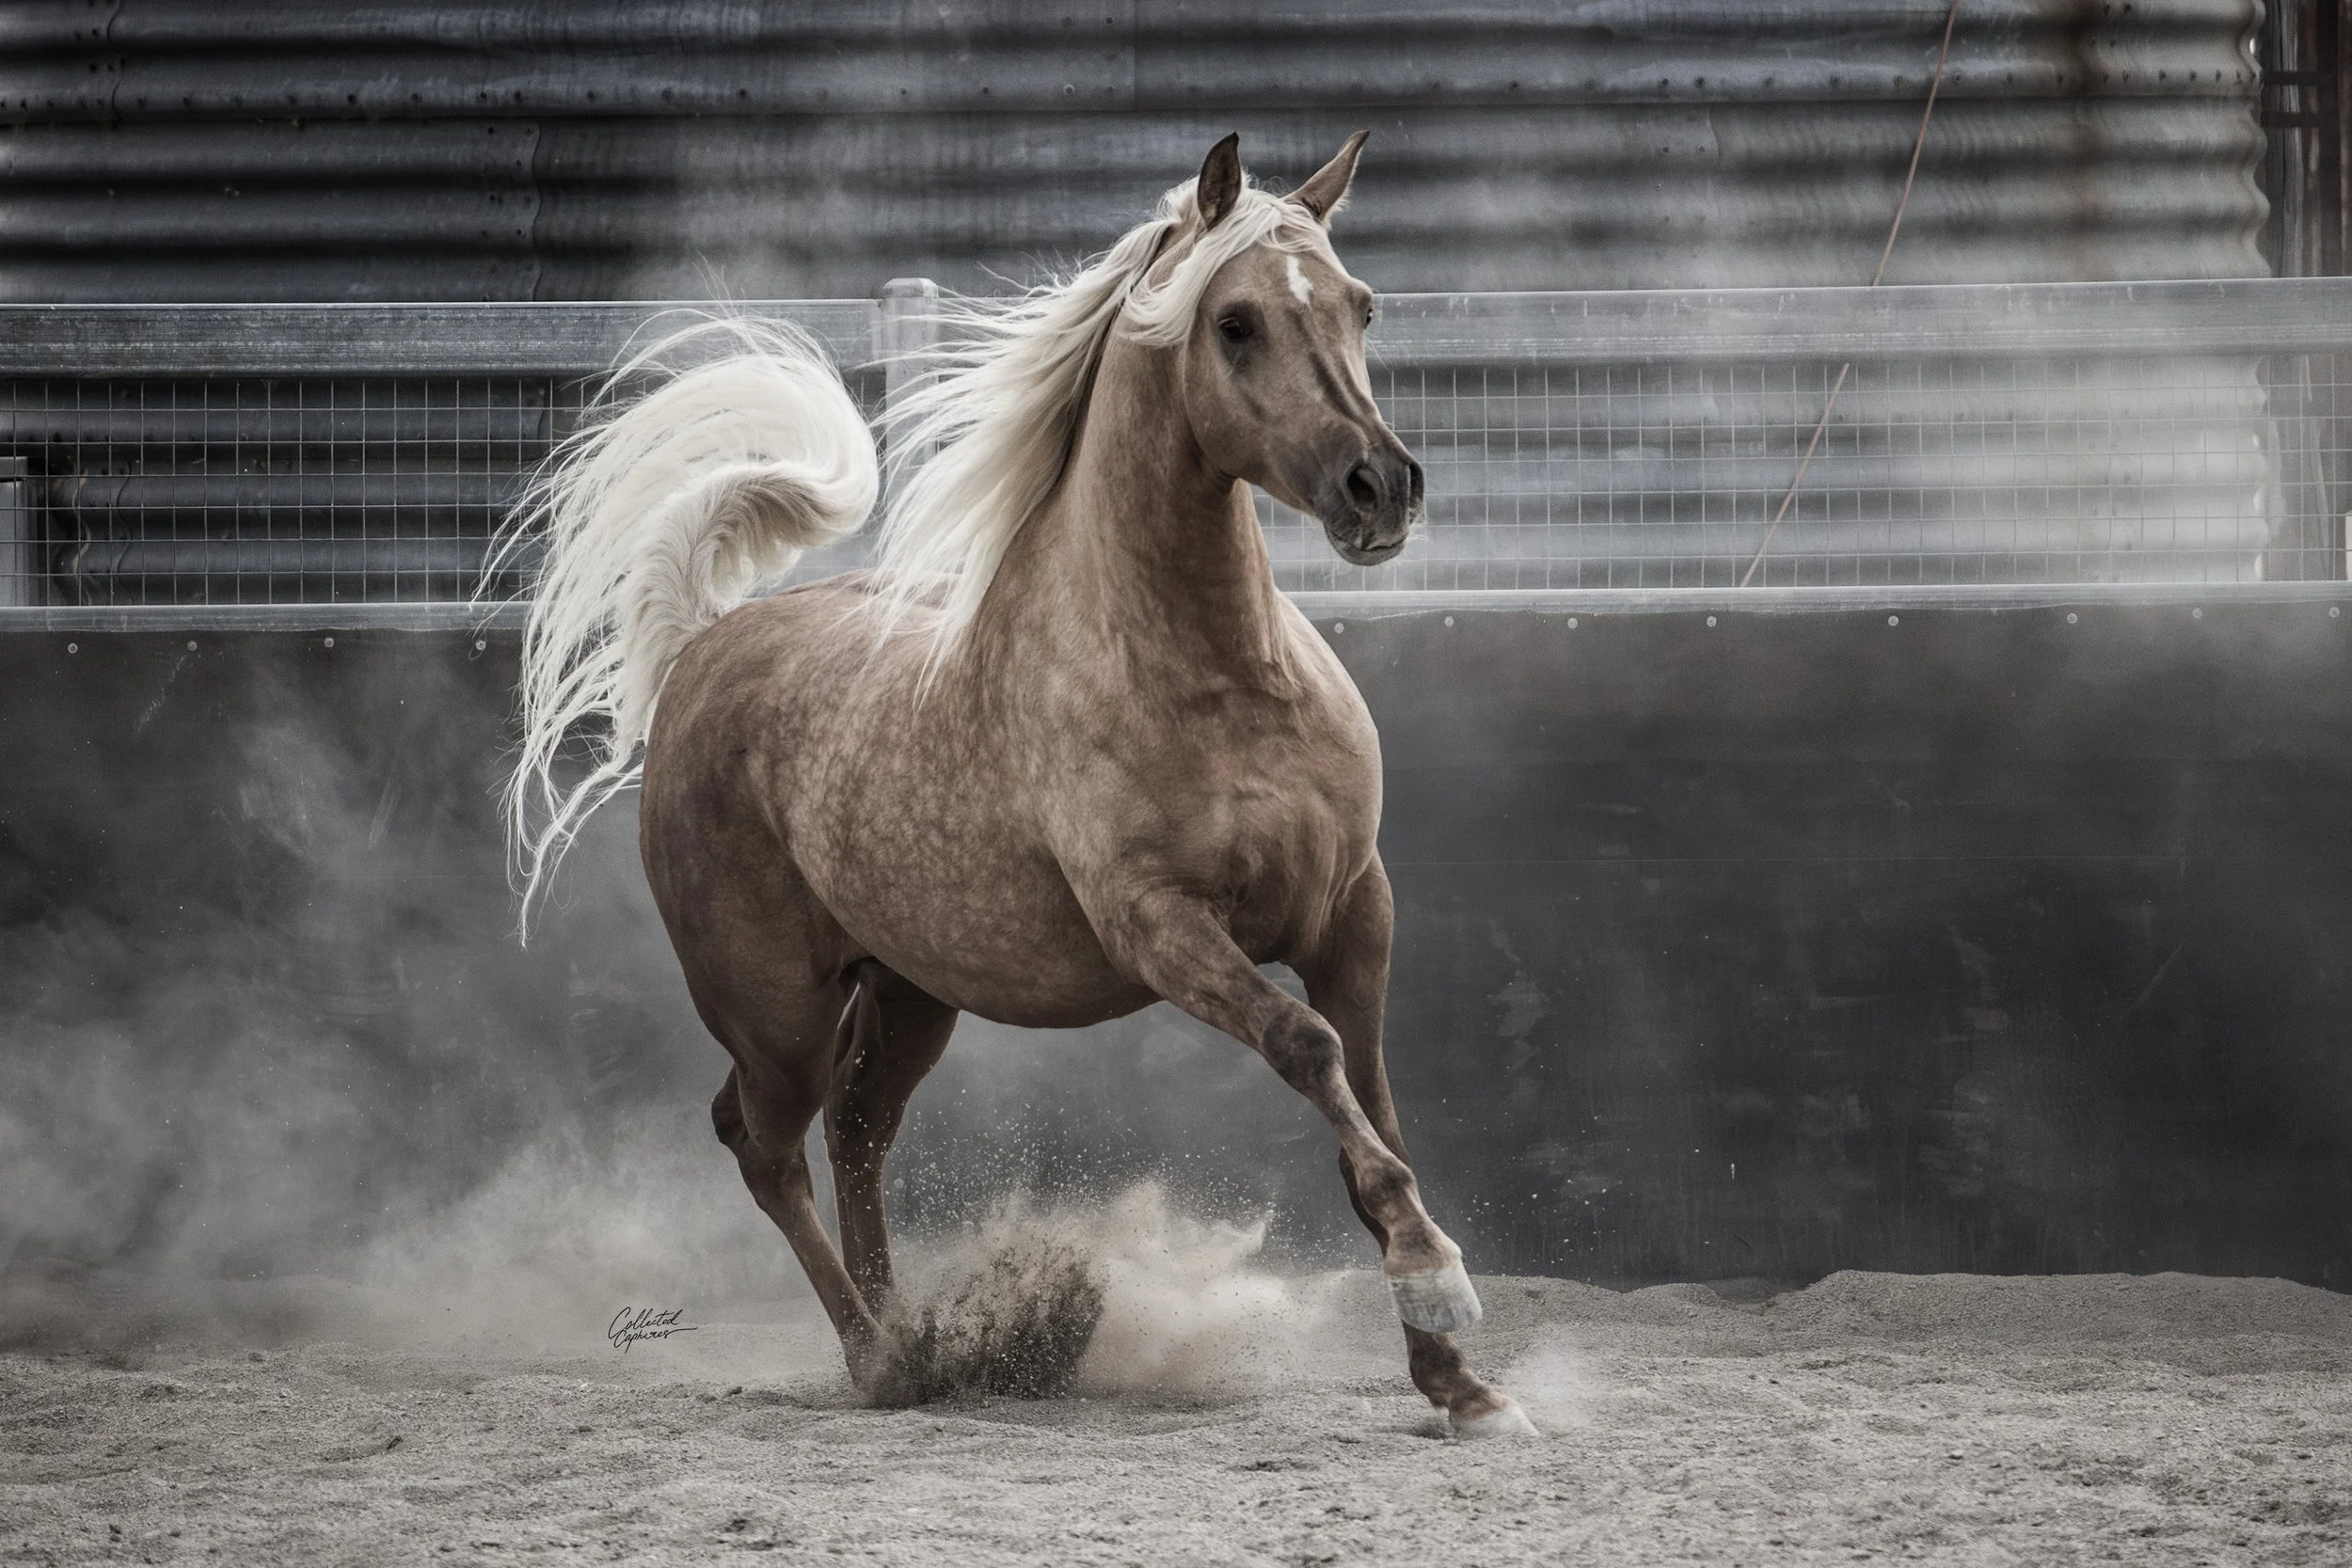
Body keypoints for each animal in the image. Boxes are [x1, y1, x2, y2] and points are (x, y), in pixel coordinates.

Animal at [501, 132, 1535, 1438]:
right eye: (1236, 323)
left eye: (1360, 305)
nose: (1380, 486)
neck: (1216, 675)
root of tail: (699, 649)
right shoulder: (1160, 926)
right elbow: (1307, 1050)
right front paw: (1438, 1279)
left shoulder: (1355, 910)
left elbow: (1374, 1111)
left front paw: (1462, 1382)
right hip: (773, 1006)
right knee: (763, 1142)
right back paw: (880, 1359)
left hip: (907, 989)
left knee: (856, 1131)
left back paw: (918, 1341)